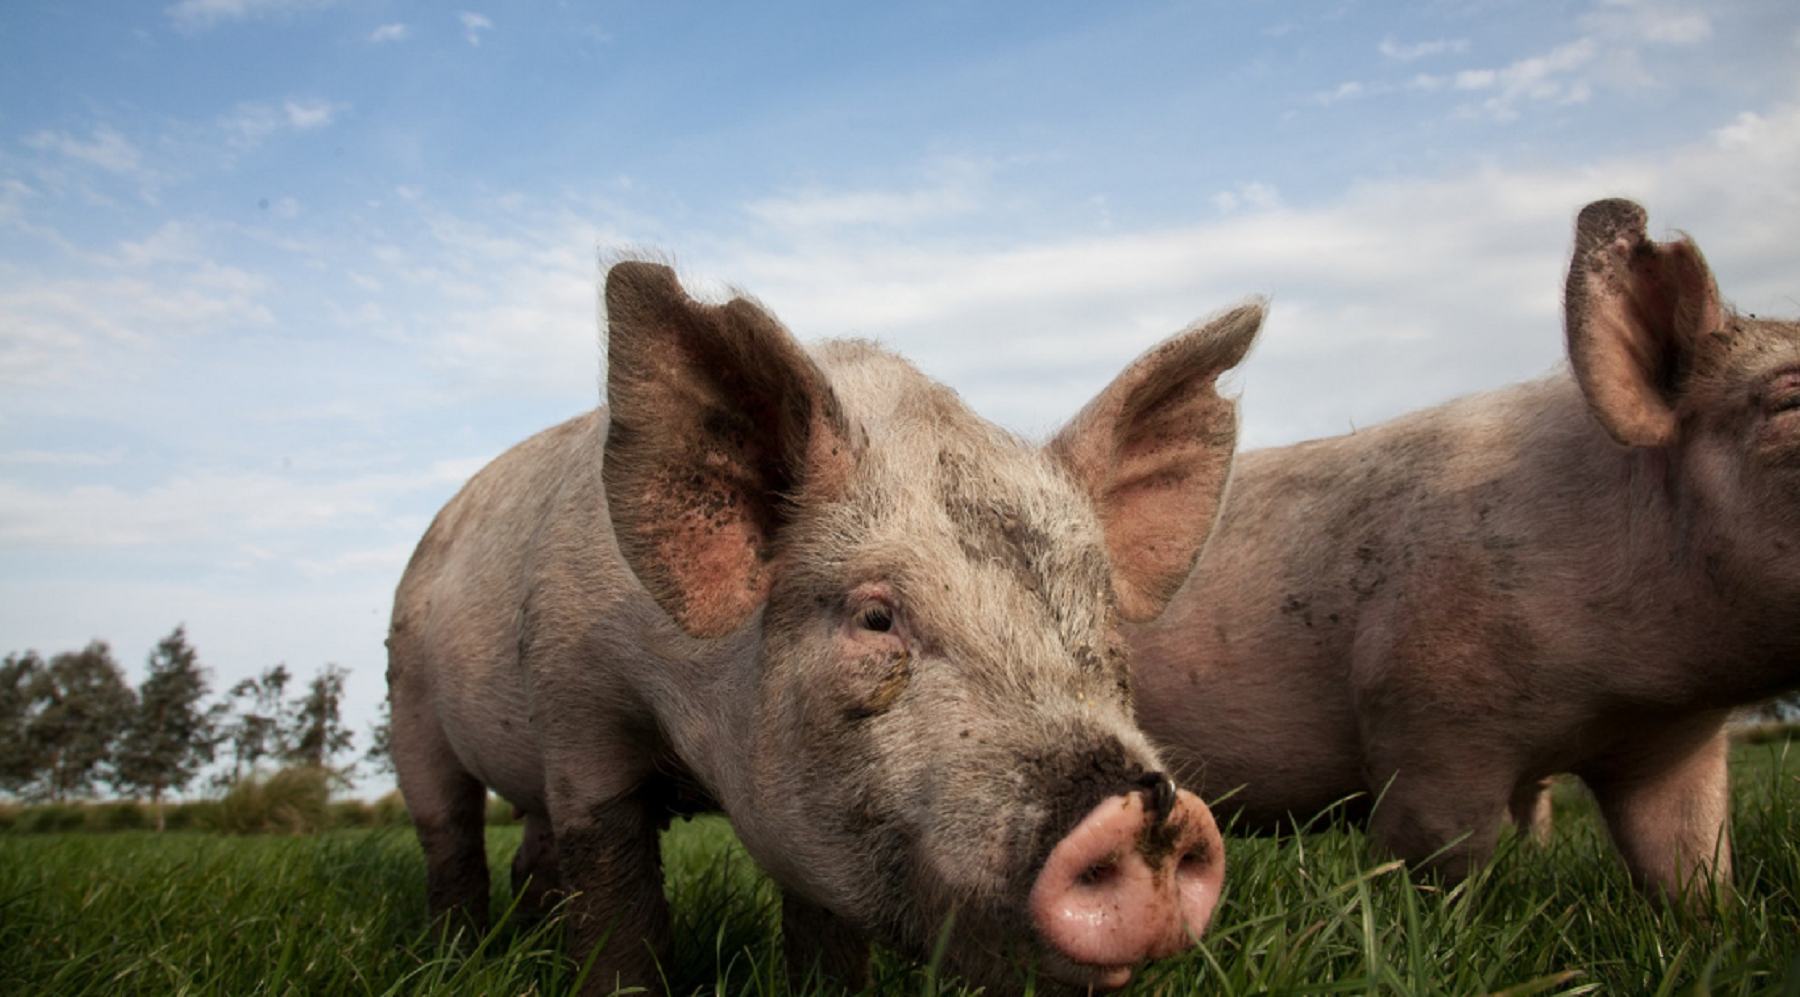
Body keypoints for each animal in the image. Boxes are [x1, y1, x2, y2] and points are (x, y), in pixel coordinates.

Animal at [387, 259, 1260, 986]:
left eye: (1103, 619)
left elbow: (825, 925)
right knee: (448, 831)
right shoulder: (575, 698)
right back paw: (455, 954)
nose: (1149, 807)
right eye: (875, 617)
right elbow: (614, 889)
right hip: (408, 692)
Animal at [1130, 197, 1800, 903]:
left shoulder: (1679, 741)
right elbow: (1438, 859)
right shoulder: (1429, 715)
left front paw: (1707, 918)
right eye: (1789, 400)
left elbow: (1692, 858)